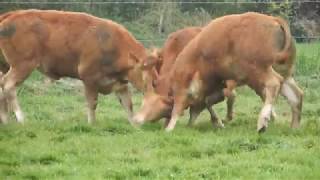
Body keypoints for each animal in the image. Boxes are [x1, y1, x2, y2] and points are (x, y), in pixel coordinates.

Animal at [0, 9, 152, 124]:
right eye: (147, 74)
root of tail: (11, 15)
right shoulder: (89, 79)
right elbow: (92, 103)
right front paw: (92, 124)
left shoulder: (119, 84)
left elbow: (128, 105)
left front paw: (135, 125)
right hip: (23, 65)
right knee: (8, 85)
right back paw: (21, 119)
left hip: (6, 66)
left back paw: (7, 121)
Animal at [132, 11, 302, 132]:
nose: (137, 119)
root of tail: (274, 20)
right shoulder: (215, 86)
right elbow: (204, 103)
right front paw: (213, 122)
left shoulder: (184, 85)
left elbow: (180, 107)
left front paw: (170, 128)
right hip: (283, 72)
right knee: (295, 94)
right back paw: (294, 126)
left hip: (257, 71)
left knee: (273, 85)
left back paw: (263, 121)